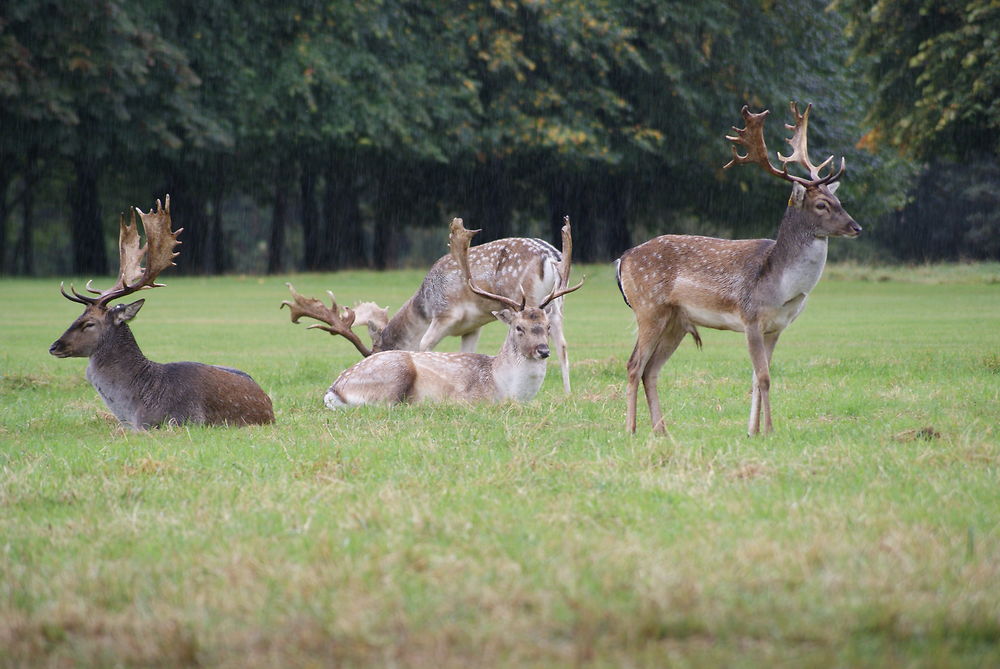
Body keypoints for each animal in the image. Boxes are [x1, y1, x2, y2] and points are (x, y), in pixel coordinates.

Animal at [50, 196, 274, 430]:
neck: (134, 410)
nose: (54, 346)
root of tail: (269, 404)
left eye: (89, 323)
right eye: (77, 317)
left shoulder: (182, 419)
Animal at [286, 219, 584, 408]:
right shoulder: (451, 321)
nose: (541, 350)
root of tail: (332, 390)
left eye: (543, 327)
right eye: (518, 327)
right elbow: (425, 345)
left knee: (563, 344)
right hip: (396, 373)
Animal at [616, 99, 860, 434]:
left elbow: (758, 378)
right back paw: (631, 430)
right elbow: (765, 377)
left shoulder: (777, 327)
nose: (856, 227)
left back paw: (661, 431)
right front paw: (769, 430)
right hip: (648, 308)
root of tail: (622, 259)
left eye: (839, 201)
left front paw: (752, 431)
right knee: (633, 365)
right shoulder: (750, 317)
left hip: (675, 320)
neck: (782, 287)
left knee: (650, 369)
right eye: (821, 205)